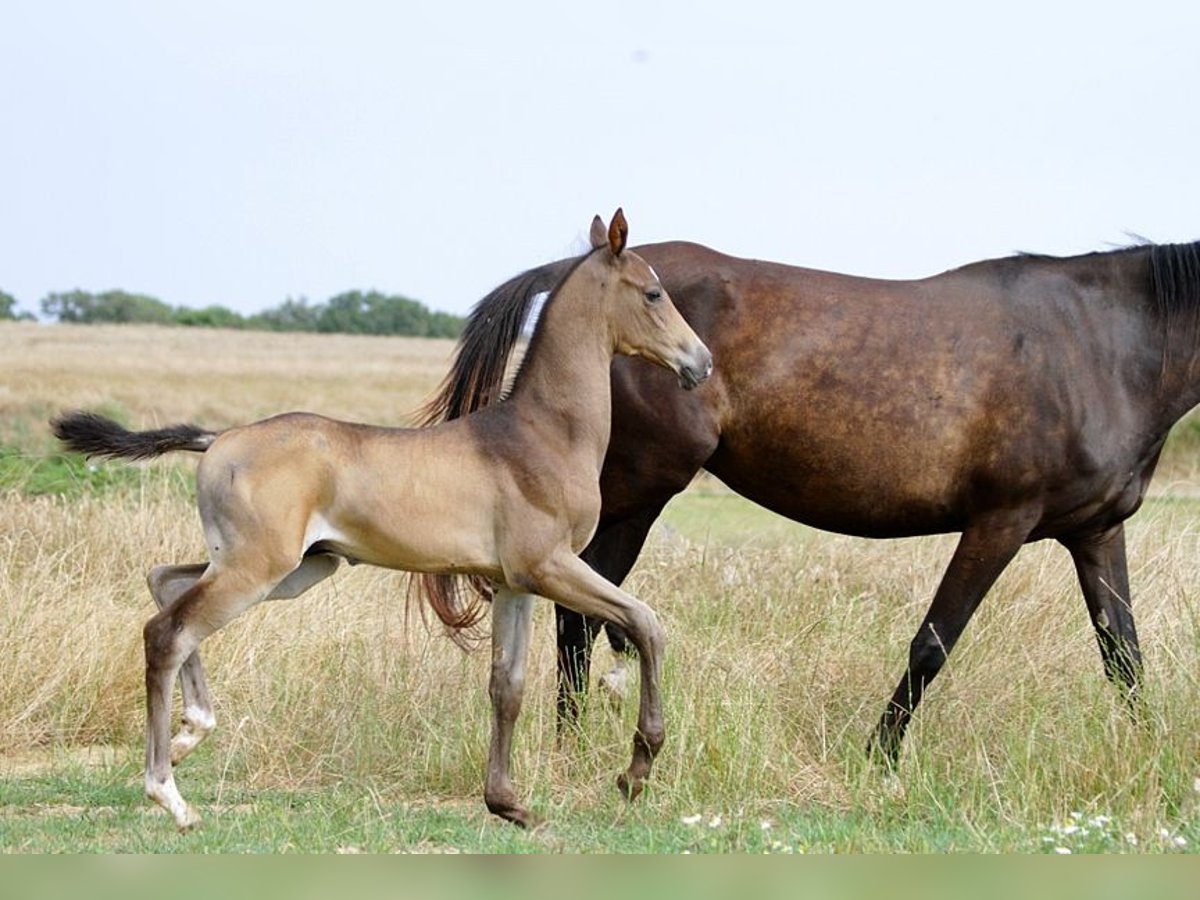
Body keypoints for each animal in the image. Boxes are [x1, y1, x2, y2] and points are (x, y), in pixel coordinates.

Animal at [51, 211, 710, 830]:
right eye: (654, 293)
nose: (700, 362)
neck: (540, 433)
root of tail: (219, 439)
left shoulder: (514, 583)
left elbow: (508, 686)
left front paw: (509, 805)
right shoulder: (549, 566)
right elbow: (647, 624)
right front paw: (636, 770)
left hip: (289, 567)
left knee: (165, 582)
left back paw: (193, 731)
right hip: (259, 568)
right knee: (169, 631)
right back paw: (171, 795)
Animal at [420, 237, 1200, 763]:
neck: (1101, 345)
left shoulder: (1096, 533)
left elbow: (1123, 653)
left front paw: (1149, 753)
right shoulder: (999, 523)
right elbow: (932, 645)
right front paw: (880, 758)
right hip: (635, 494)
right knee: (580, 616)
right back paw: (571, 745)